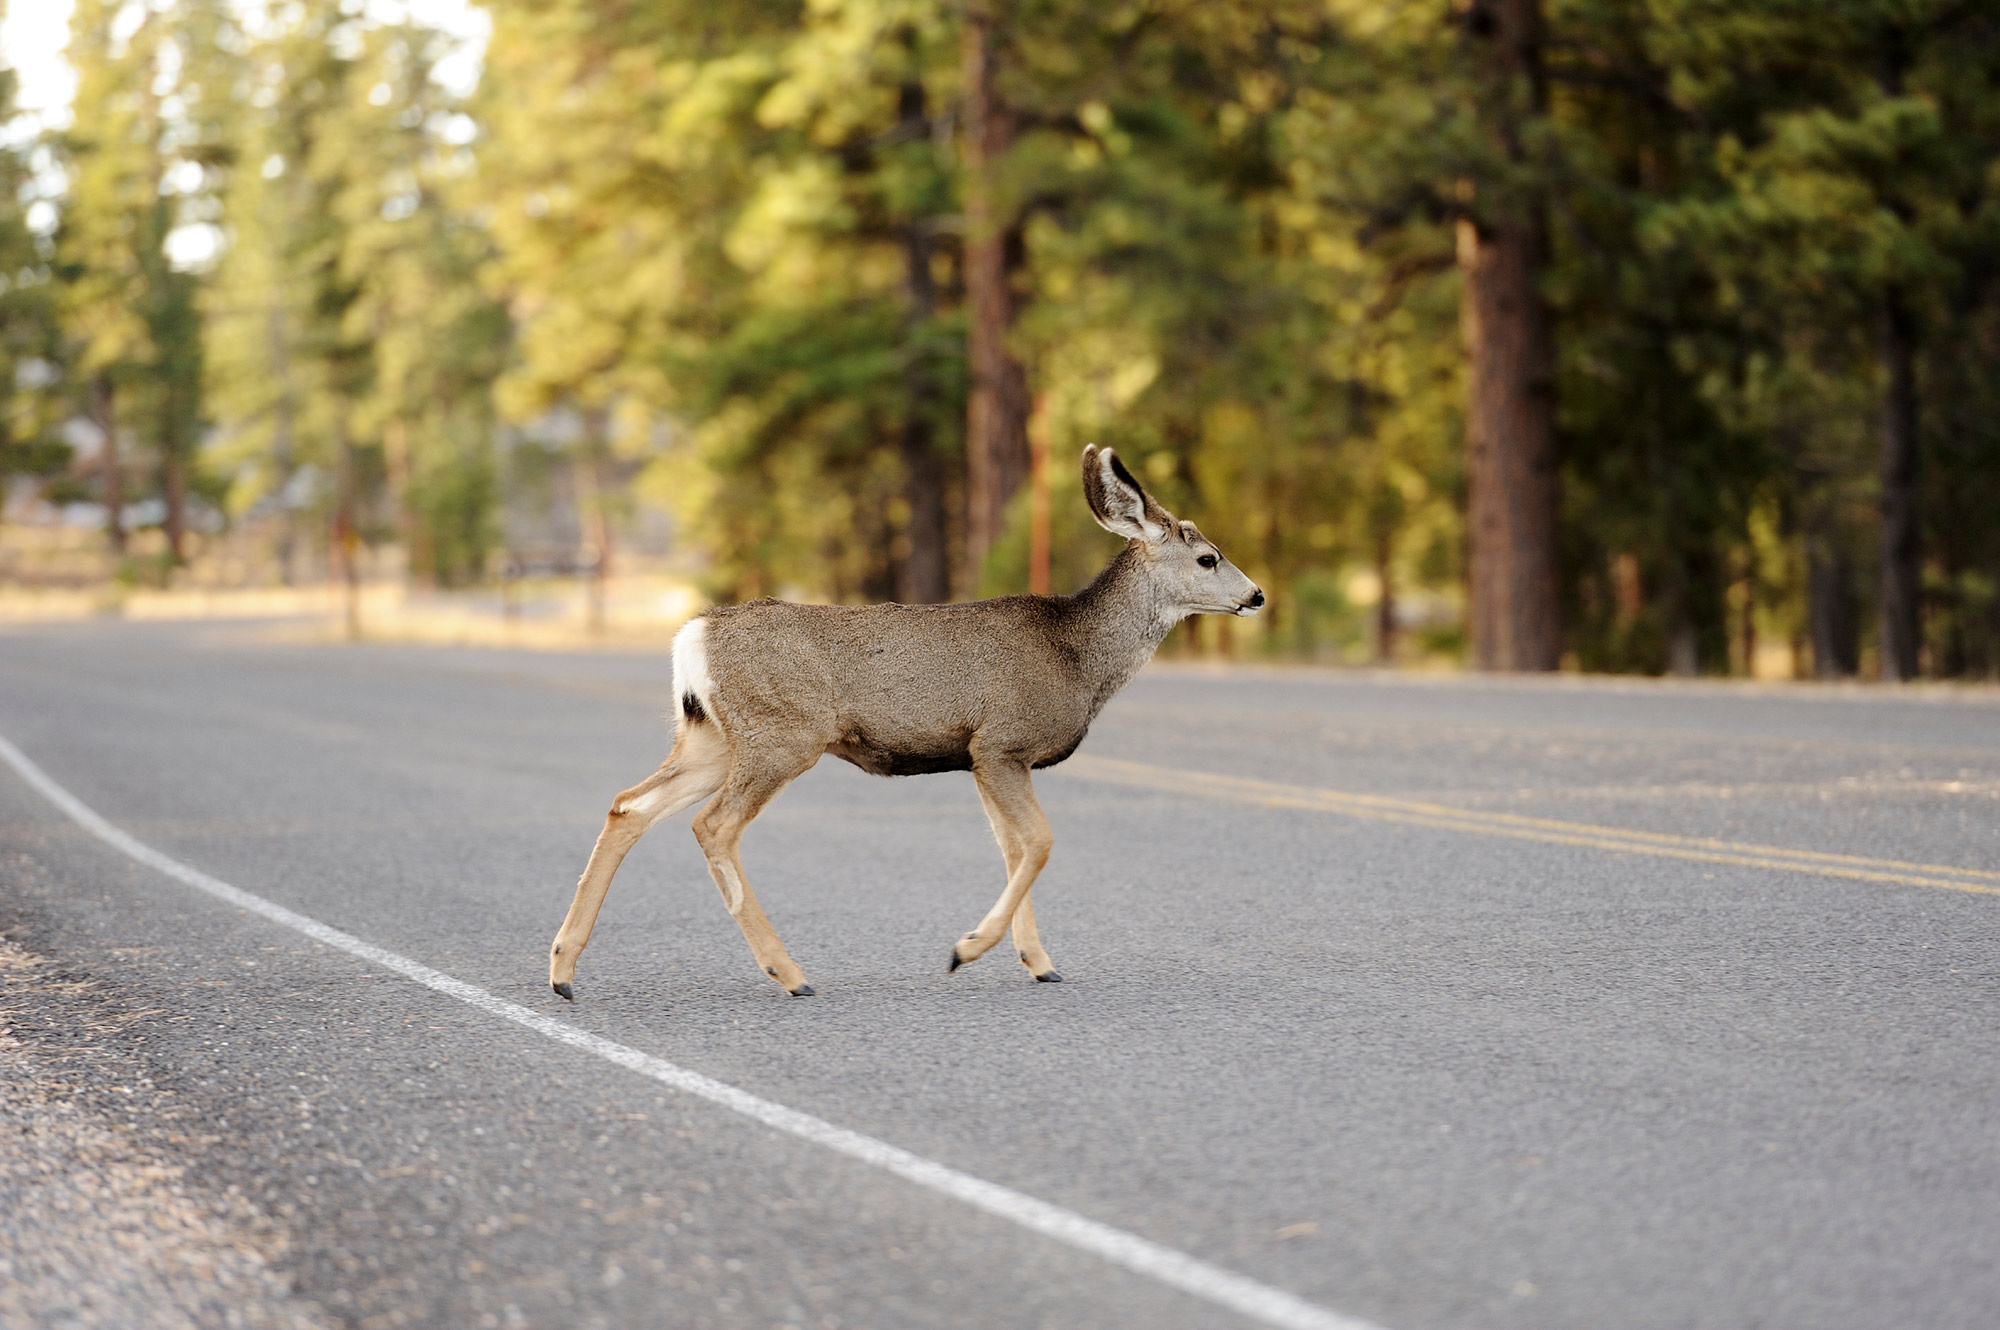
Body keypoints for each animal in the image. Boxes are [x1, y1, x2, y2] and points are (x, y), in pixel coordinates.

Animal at [547, 445, 1263, 1001]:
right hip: (781, 736)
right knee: (712, 825)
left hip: (711, 738)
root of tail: (692, 637)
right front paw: (967, 949)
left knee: (629, 806)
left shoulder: (980, 756)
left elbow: (1013, 848)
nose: (1256, 595)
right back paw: (790, 973)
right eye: (1208, 558)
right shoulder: (1003, 741)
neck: (1078, 656)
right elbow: (1039, 843)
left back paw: (562, 969)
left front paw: (1038, 963)